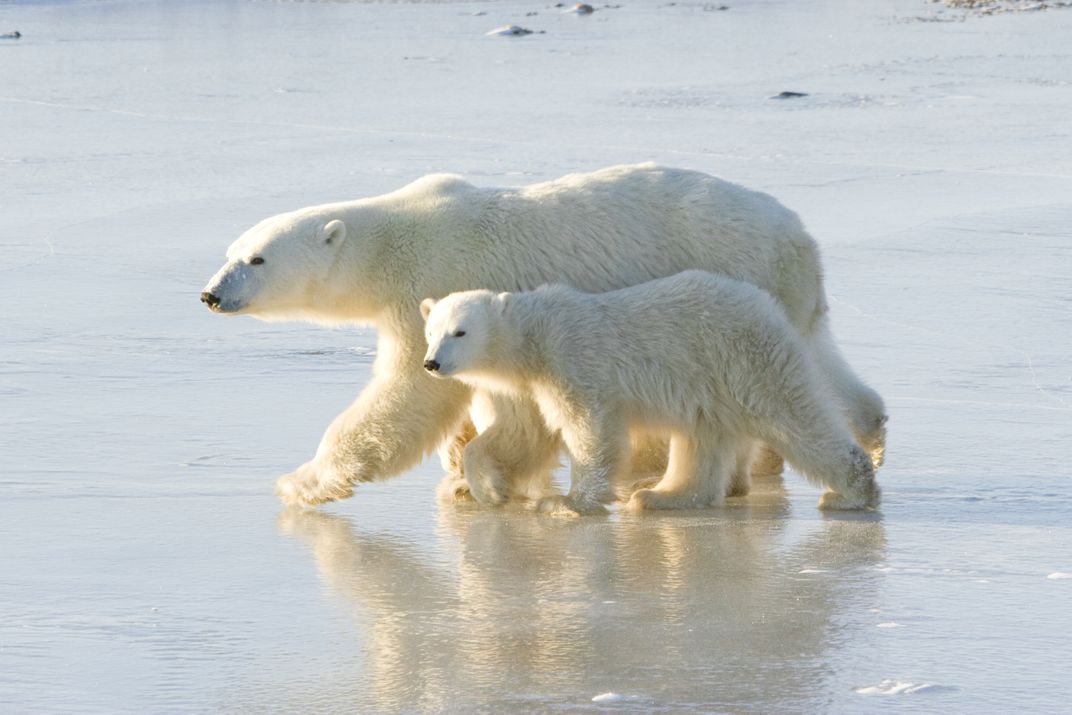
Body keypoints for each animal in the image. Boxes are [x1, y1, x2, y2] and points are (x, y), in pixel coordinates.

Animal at [420, 271, 881, 515]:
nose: (432, 363)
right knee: (703, 440)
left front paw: (568, 502)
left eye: (460, 332)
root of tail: (766, 305)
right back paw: (662, 495)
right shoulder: (538, 386)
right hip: (712, 385)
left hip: (743, 360)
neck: (537, 335)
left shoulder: (575, 362)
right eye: (430, 331)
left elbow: (591, 431)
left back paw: (850, 492)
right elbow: (525, 436)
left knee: (795, 417)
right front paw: (490, 490)